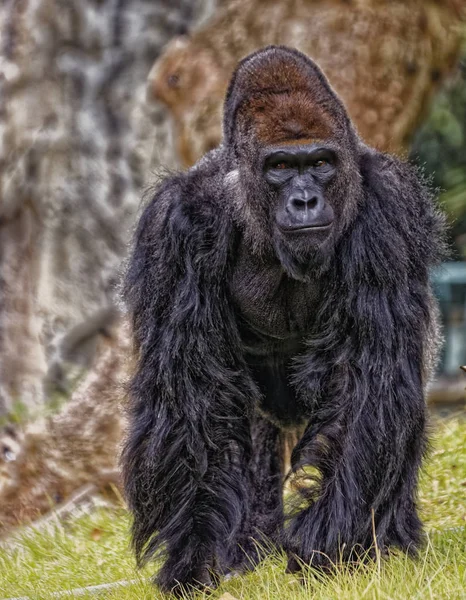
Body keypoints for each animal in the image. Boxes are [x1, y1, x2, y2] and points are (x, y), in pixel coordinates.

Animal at [123, 44, 444, 592]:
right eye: (280, 166)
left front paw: (327, 545)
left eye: (319, 163)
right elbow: (194, 403)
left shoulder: (388, 210)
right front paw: (197, 558)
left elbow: (366, 389)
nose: (305, 199)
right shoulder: (176, 226)